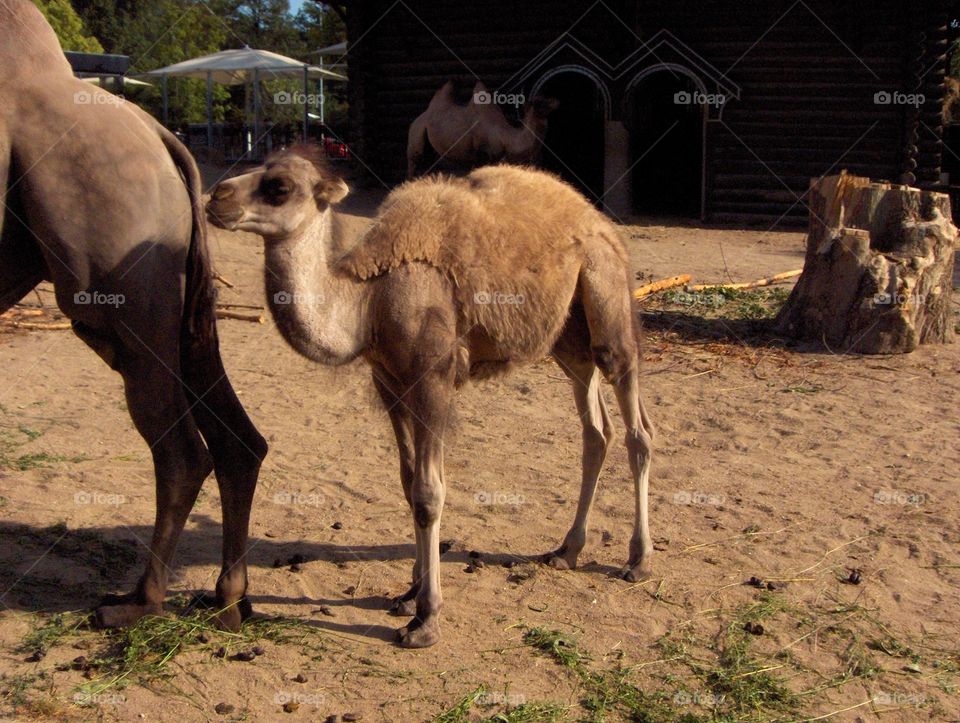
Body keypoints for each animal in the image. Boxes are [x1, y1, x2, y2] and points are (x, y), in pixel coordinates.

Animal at [0, 0, 266, 632]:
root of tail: (162, 138)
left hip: (110, 281)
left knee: (180, 450)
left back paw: (136, 602)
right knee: (235, 435)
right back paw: (228, 598)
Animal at [208, 148, 660, 652]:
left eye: (280, 187)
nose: (216, 197)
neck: (370, 299)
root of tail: (598, 220)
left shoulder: (433, 380)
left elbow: (429, 492)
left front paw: (426, 619)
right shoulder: (389, 381)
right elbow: (409, 484)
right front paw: (409, 591)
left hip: (608, 300)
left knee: (637, 427)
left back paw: (638, 560)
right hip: (568, 339)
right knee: (595, 431)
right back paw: (567, 550)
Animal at [404, 80, 556, 177]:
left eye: (546, 100)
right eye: (538, 103)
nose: (556, 102)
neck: (504, 136)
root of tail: (418, 119)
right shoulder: (482, 154)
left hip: (431, 150)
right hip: (415, 138)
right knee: (413, 165)